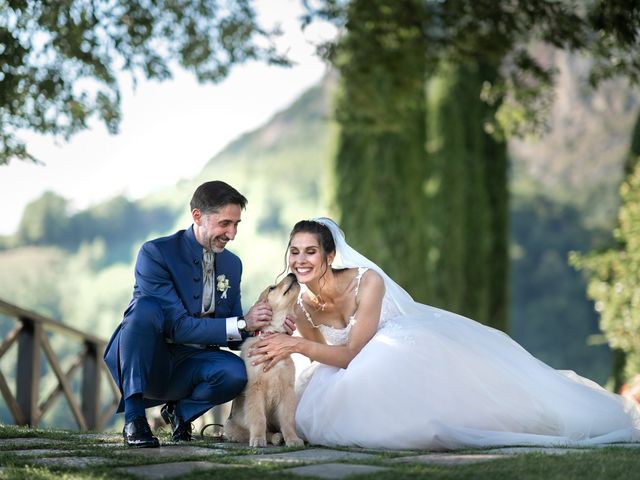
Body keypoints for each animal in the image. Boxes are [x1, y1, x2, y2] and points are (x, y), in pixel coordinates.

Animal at [225, 274, 304, 450]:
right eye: (272, 288)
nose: (292, 274)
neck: (271, 334)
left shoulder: (287, 390)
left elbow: (288, 420)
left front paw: (293, 439)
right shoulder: (255, 389)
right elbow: (259, 418)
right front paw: (258, 439)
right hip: (230, 427)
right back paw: (273, 437)